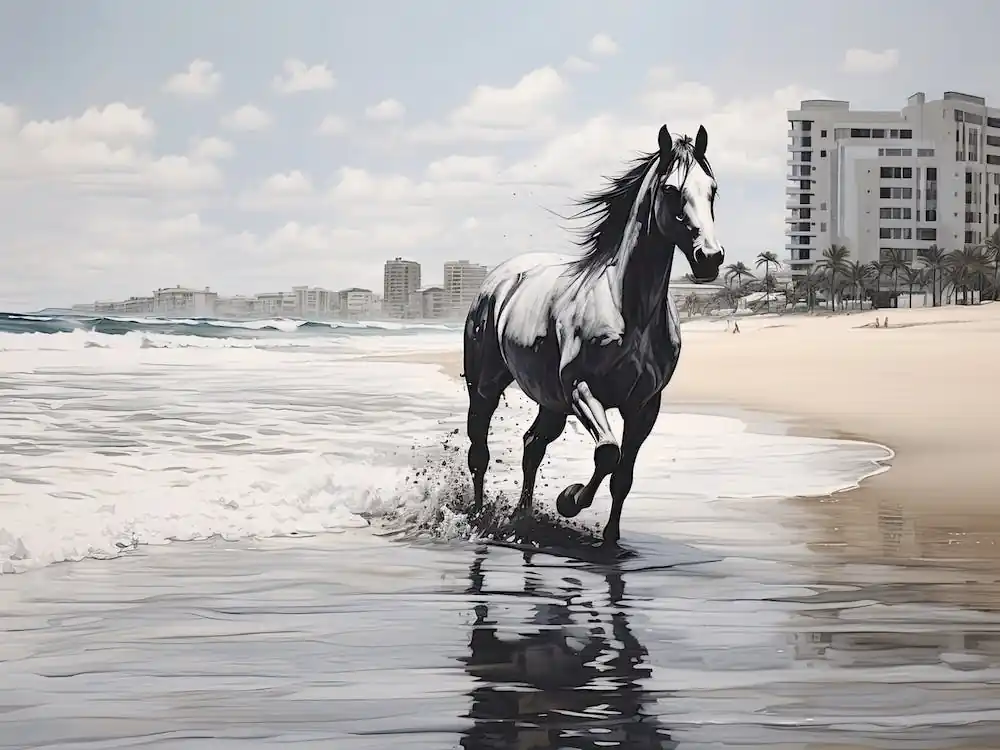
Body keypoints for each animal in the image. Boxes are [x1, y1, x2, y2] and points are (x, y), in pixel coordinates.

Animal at [462, 123, 724, 548]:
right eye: (671, 189)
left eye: (712, 189)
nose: (710, 258)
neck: (628, 308)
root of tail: (498, 278)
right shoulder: (582, 389)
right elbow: (608, 454)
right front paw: (569, 500)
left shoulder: (644, 406)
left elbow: (623, 476)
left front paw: (611, 538)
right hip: (486, 387)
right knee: (479, 452)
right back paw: (479, 515)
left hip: (550, 401)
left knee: (532, 446)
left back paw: (522, 517)